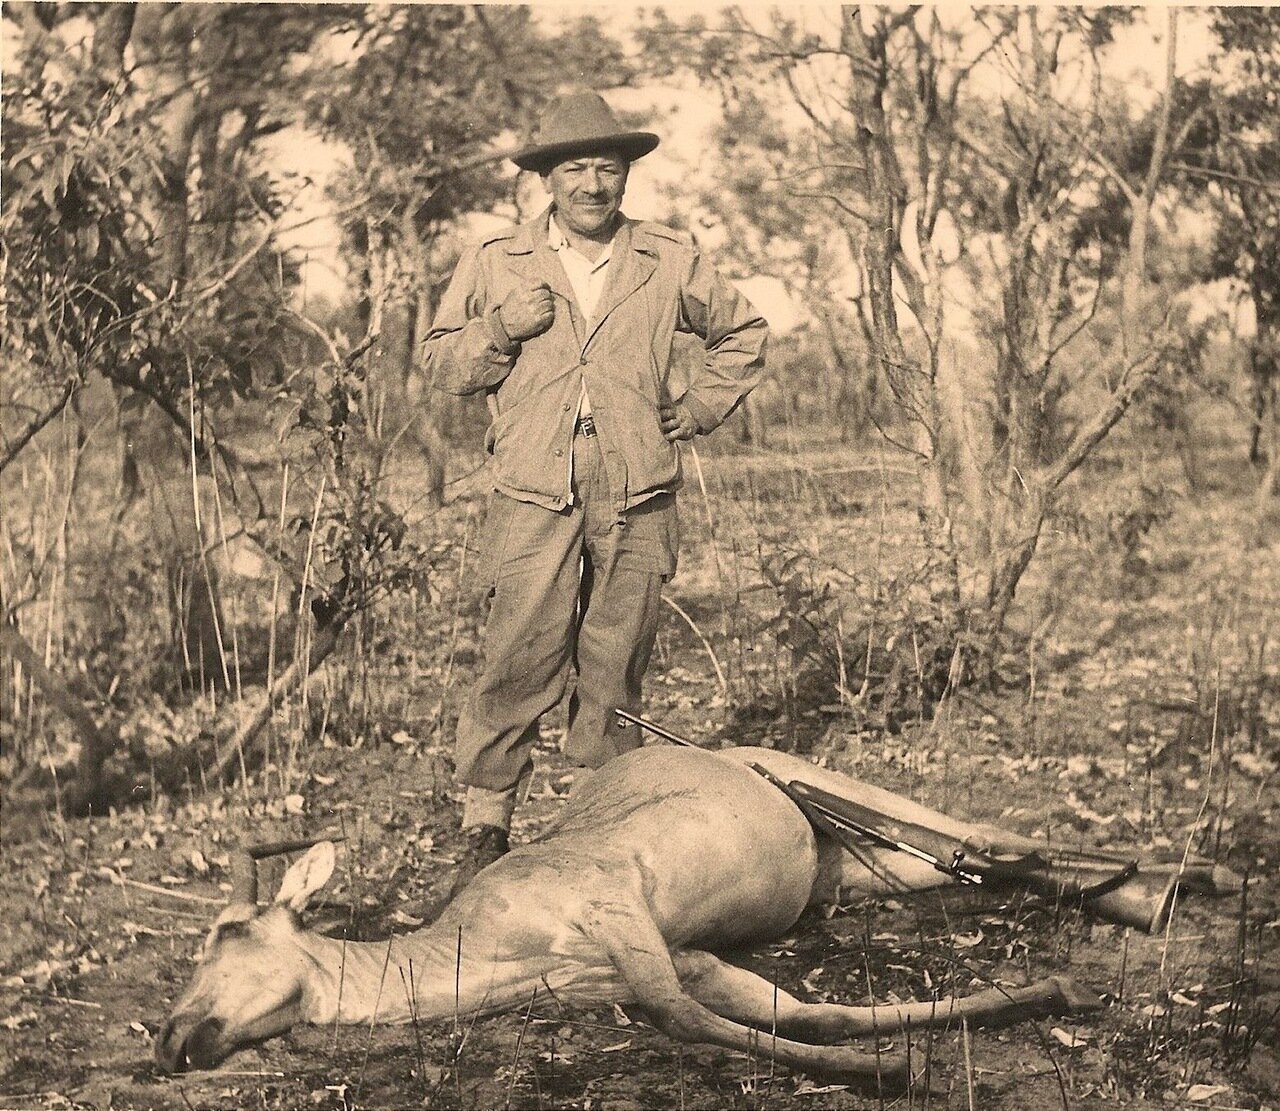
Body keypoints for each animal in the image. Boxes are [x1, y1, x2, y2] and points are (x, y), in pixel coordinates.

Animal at [152, 747, 1239, 1085]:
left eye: (227, 933)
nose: (168, 1034)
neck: (481, 950)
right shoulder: (677, 956)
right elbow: (796, 1010)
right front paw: (1041, 994)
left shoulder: (622, 914)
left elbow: (698, 1023)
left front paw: (890, 1072)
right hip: (853, 871)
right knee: (980, 862)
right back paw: (1156, 893)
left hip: (833, 786)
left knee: (985, 828)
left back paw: (1199, 875)